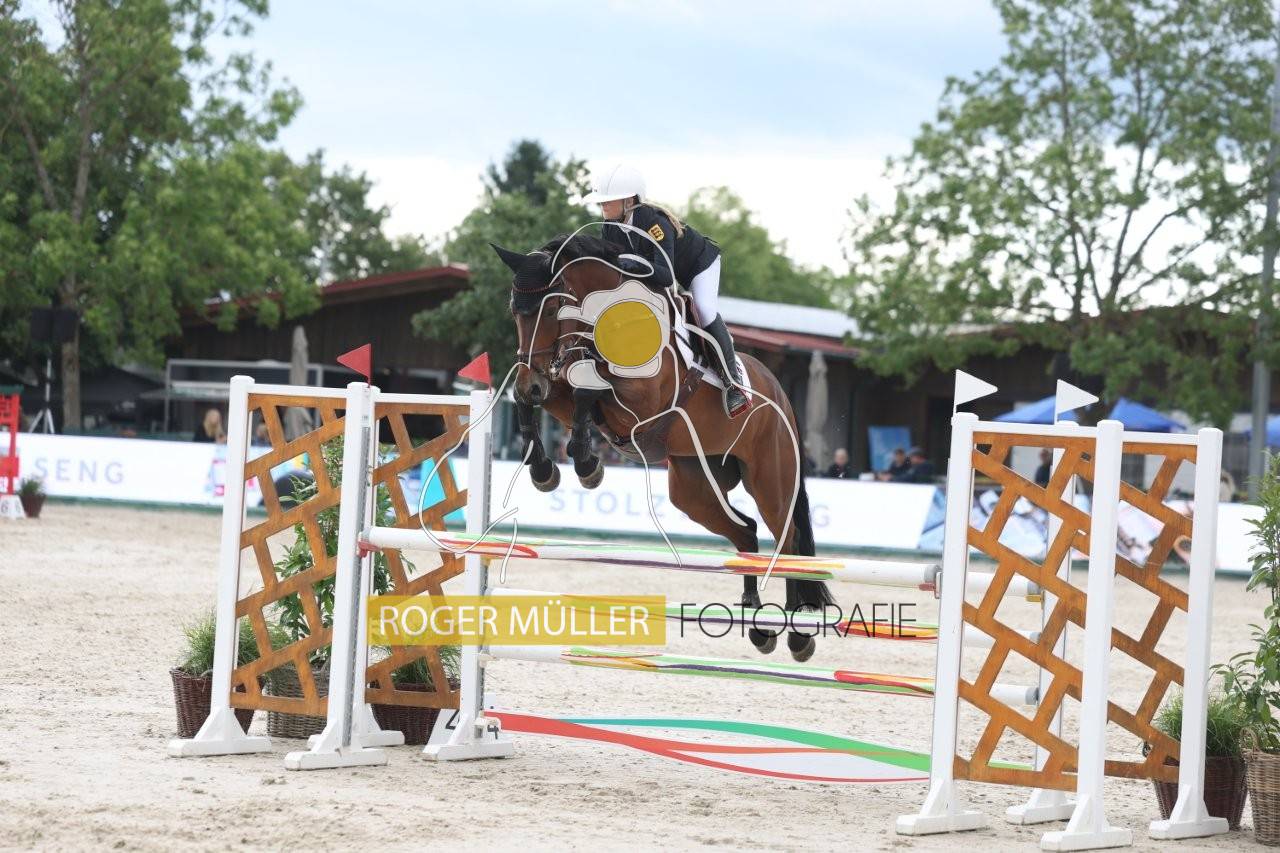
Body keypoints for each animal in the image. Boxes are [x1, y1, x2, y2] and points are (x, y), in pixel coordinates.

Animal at [492, 233, 834, 662]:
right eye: (513, 311)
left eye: (552, 307)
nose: (530, 380)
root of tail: (783, 396)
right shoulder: (561, 389)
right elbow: (545, 397)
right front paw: (547, 470)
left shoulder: (644, 401)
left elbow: (590, 388)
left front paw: (585, 465)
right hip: (693, 488)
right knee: (746, 533)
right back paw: (758, 626)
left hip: (770, 480)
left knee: (787, 541)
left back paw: (797, 634)